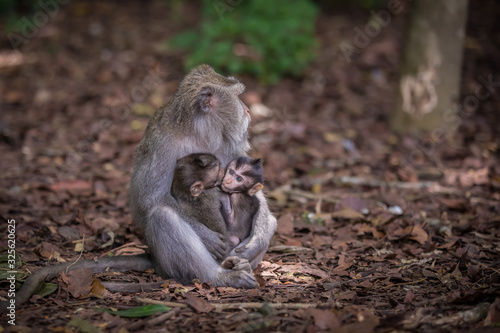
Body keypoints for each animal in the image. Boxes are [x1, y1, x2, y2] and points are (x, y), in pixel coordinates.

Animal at [129, 63, 278, 286]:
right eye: (237, 95)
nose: (247, 109)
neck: (200, 132)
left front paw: (259, 236)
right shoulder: (162, 144)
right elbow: (151, 199)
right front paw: (206, 237)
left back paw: (242, 261)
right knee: (162, 216)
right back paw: (220, 277)